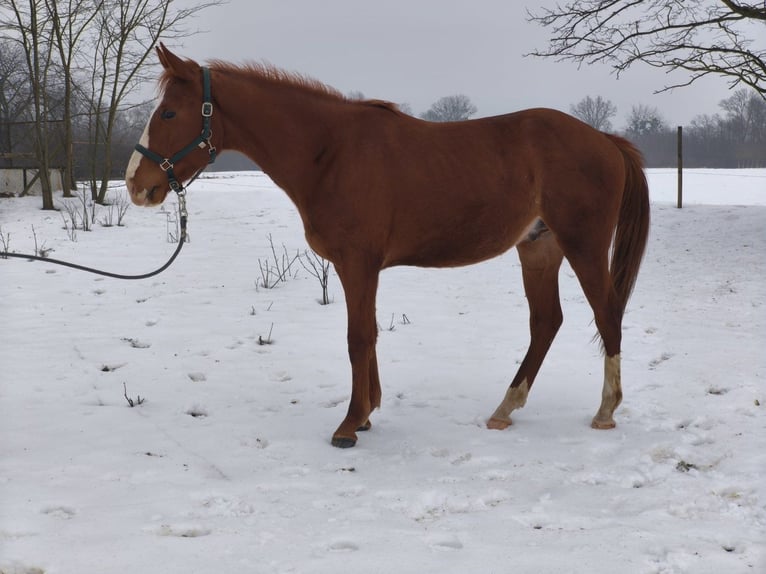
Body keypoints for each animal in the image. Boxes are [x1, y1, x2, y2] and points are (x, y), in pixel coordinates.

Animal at [126, 44, 650, 448]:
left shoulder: (357, 263)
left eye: (169, 112)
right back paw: (506, 408)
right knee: (546, 322)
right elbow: (371, 333)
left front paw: (349, 424)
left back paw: (605, 412)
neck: (329, 152)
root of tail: (604, 139)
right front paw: (368, 413)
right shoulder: (362, 267)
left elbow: (358, 337)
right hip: (539, 248)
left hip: (582, 245)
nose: (136, 184)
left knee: (607, 314)